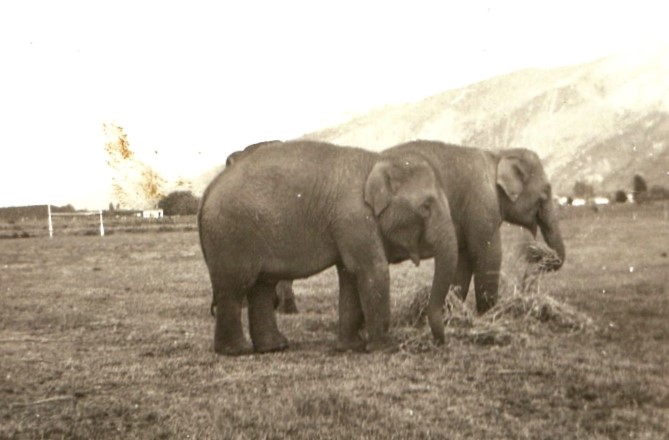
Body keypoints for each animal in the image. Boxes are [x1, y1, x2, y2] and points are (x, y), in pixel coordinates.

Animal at [198, 140, 458, 355]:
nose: (439, 342)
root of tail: (208, 190)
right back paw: (237, 351)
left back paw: (274, 347)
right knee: (234, 287)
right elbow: (373, 271)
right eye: (425, 207)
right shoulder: (354, 217)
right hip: (230, 235)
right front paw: (385, 348)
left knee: (261, 286)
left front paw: (351, 347)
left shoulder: (349, 224)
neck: (377, 160)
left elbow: (350, 275)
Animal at [385, 140, 566, 313]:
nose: (524, 287)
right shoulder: (482, 204)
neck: (498, 154)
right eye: (546, 190)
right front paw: (488, 314)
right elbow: (489, 254)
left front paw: (453, 309)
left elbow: (463, 261)